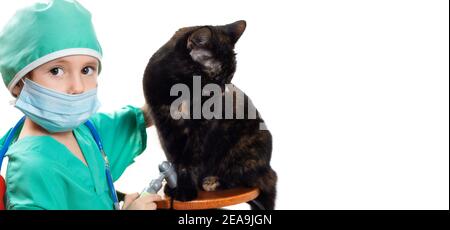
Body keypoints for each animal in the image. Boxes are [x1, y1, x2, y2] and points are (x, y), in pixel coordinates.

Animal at [142, 20, 276, 209]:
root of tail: (267, 166)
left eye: (230, 76)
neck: (183, 94)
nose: (223, 90)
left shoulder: (202, 129)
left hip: (255, 141)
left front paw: (186, 189)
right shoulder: (163, 125)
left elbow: (190, 160)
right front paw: (174, 186)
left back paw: (212, 182)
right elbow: (174, 158)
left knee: (248, 177)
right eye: (215, 77)